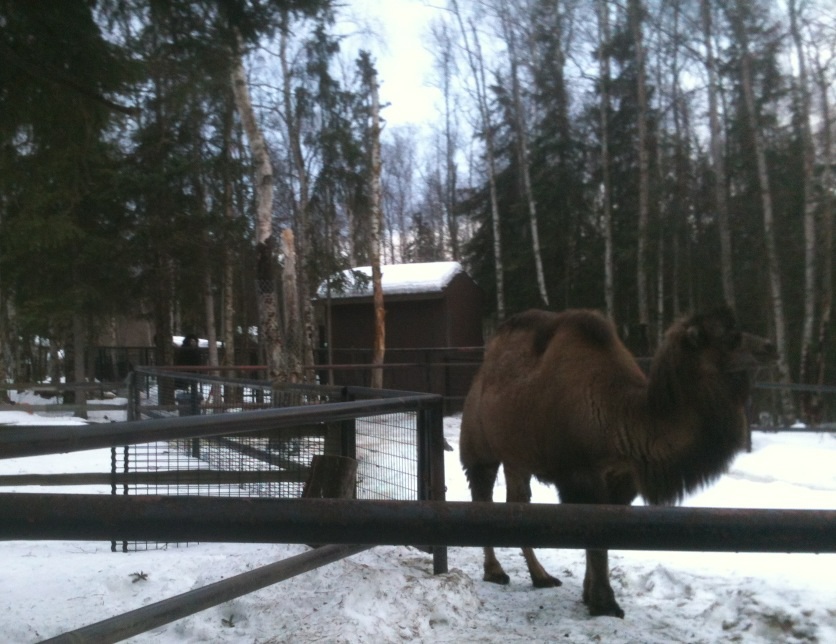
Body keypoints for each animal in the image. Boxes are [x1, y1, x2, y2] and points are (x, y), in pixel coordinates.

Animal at [459, 306, 777, 617]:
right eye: (730, 337)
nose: (770, 347)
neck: (618, 416)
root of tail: (480, 377)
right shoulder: (581, 477)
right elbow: (596, 540)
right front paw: (605, 604)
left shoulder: (622, 479)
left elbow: (607, 535)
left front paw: (589, 595)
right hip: (480, 451)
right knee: (481, 499)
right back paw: (495, 572)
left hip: (518, 459)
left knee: (517, 503)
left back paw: (541, 577)